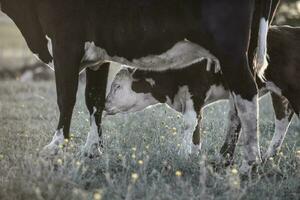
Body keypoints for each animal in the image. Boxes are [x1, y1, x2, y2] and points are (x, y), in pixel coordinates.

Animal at [104, 25, 298, 166]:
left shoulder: (195, 92)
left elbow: (189, 123)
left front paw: (182, 154)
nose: (105, 105)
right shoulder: (192, 100)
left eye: (117, 86)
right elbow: (196, 126)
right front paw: (194, 154)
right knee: (282, 119)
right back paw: (268, 156)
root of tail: (290, 30)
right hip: (278, 93)